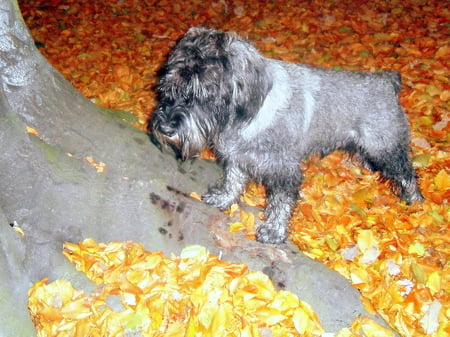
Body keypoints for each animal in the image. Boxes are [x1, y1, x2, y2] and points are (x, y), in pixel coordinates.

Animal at [149, 26, 424, 242]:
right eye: (169, 84)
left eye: (204, 91)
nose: (166, 128)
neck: (247, 112)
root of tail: (387, 81)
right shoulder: (237, 155)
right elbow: (233, 179)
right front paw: (224, 198)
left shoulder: (283, 170)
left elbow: (280, 202)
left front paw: (274, 231)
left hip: (385, 146)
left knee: (406, 173)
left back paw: (415, 202)